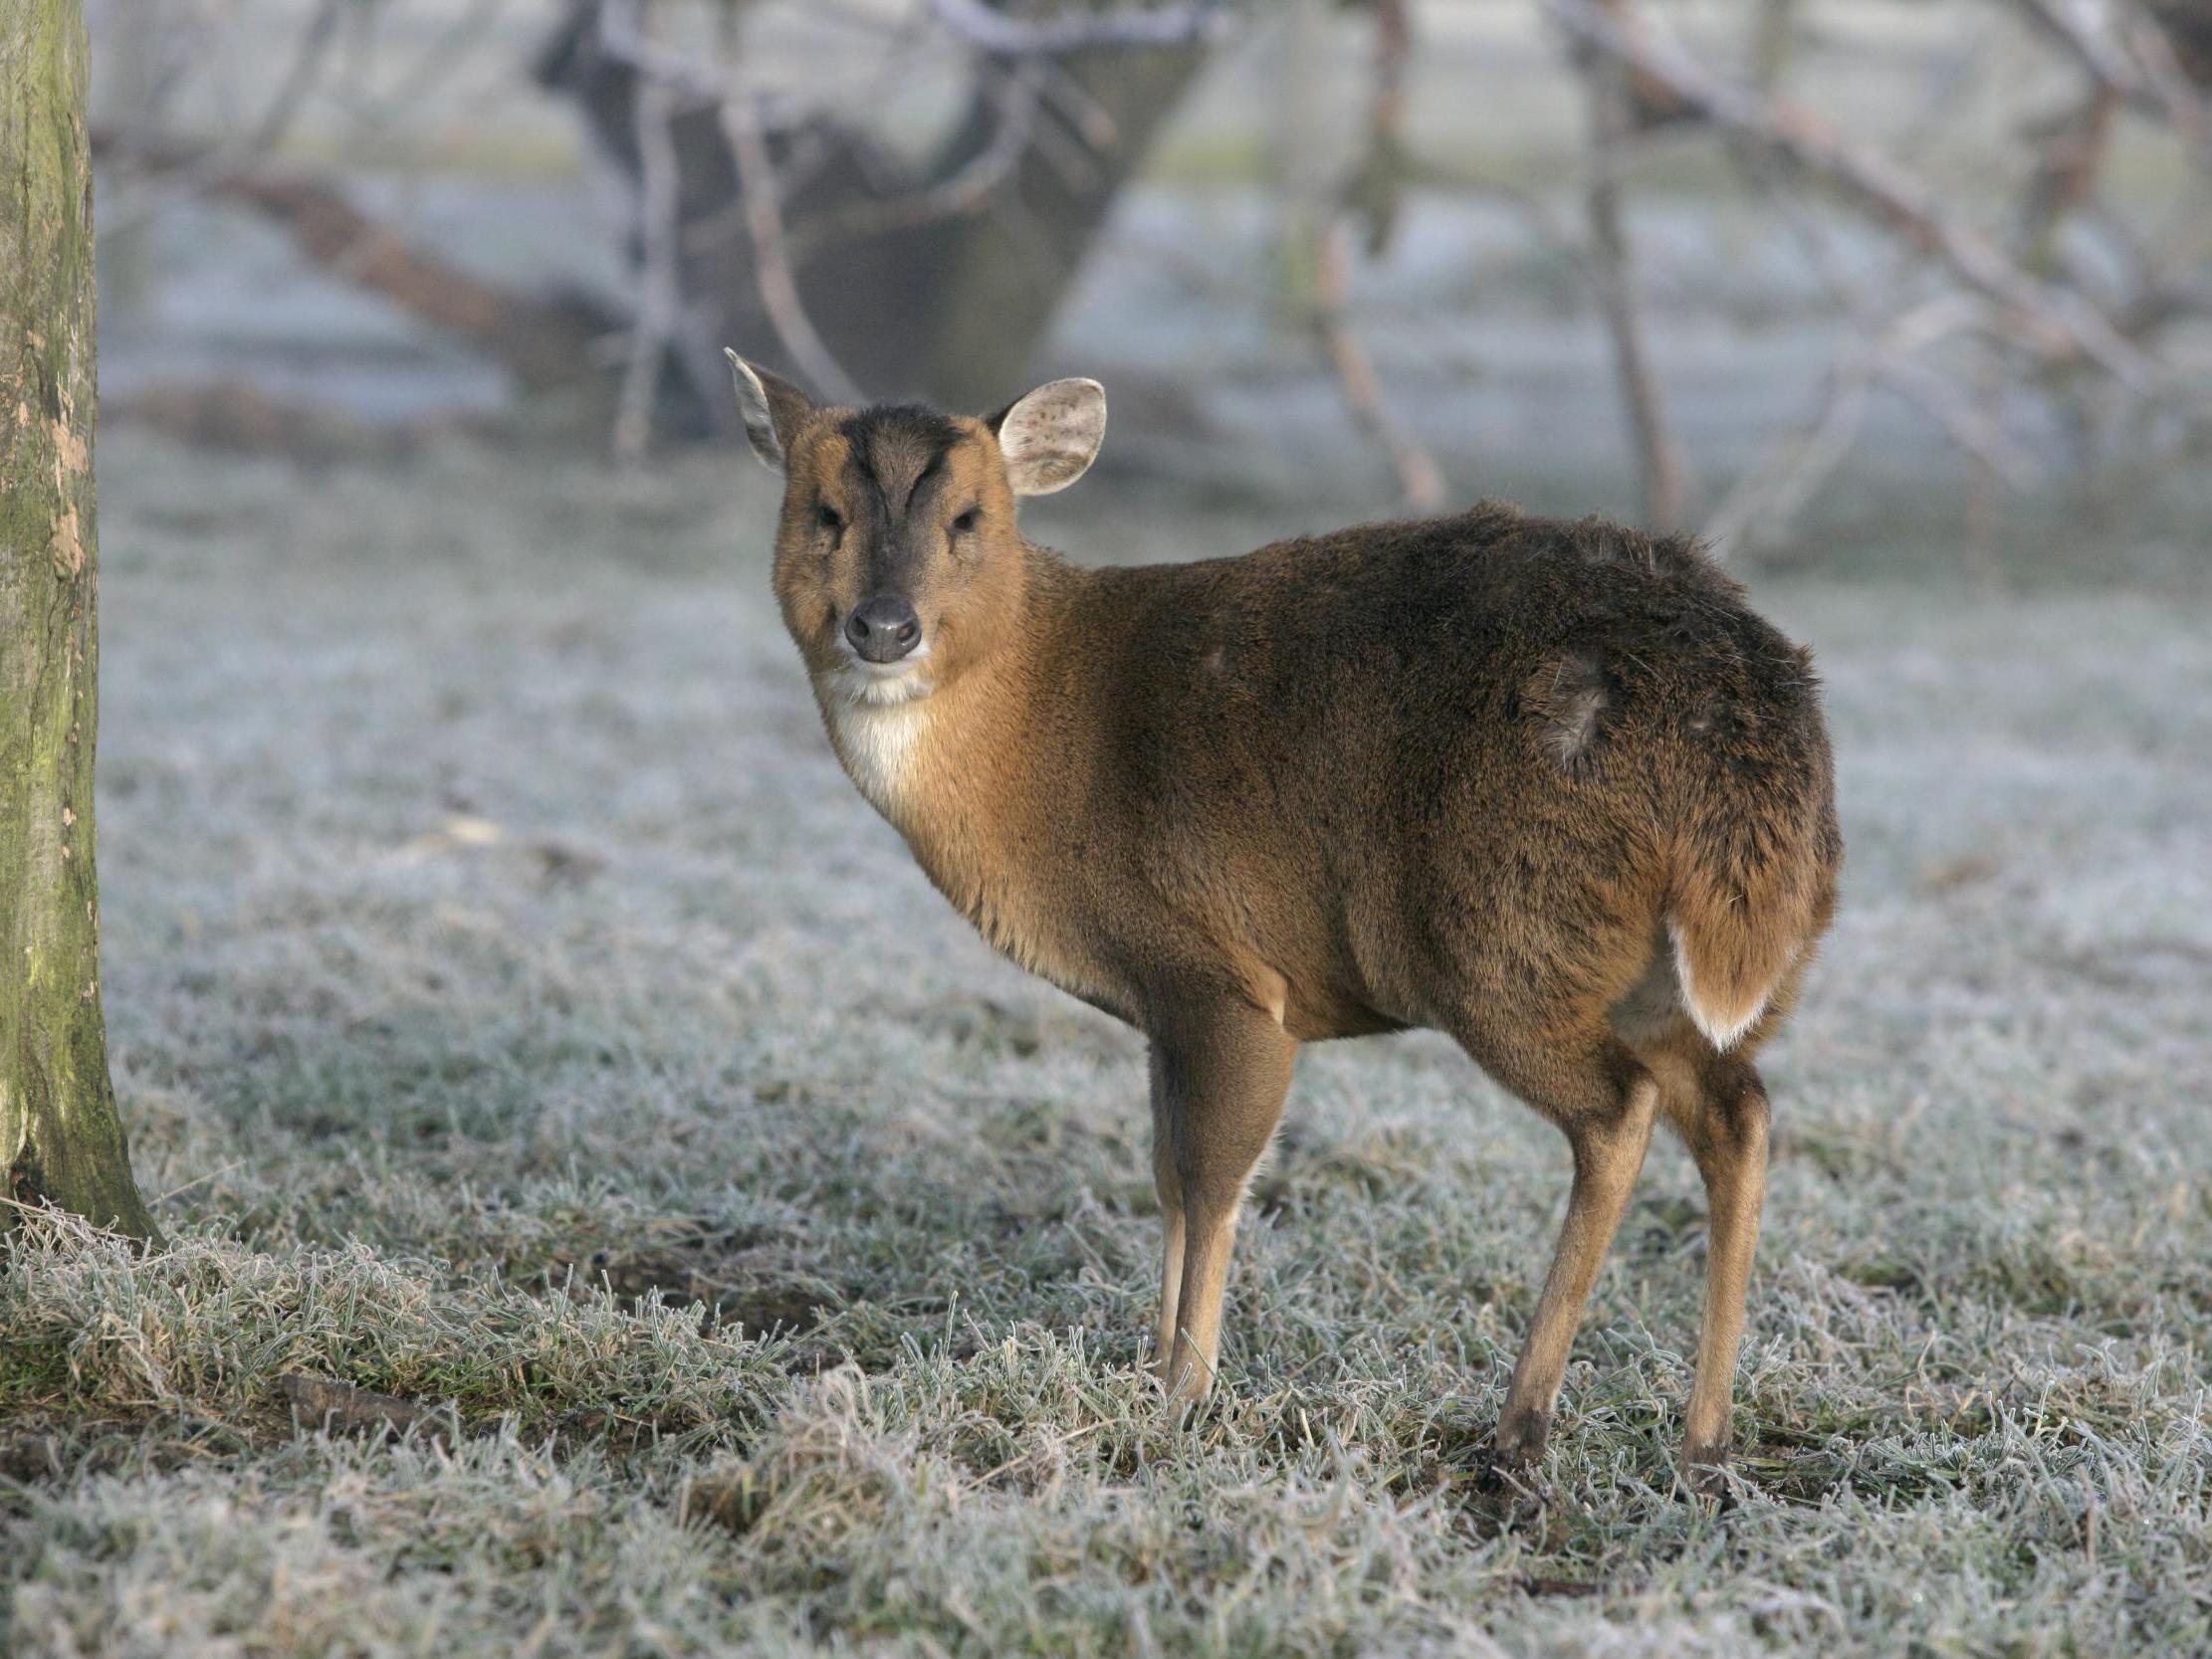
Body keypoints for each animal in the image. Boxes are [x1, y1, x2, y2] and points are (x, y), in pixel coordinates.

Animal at [725, 353, 1831, 1495]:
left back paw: (1518, 1430)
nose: (883, 626)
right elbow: (1164, 1173)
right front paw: (1149, 1365)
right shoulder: (1162, 1001)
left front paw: (1180, 1394)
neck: (1035, 740)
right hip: (1667, 973)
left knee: (1618, 1111)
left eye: (968, 517)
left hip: (1505, 944)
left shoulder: (1220, 972)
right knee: (1736, 1109)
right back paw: (1705, 1441)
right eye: (823, 511)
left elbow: (1211, 1176)